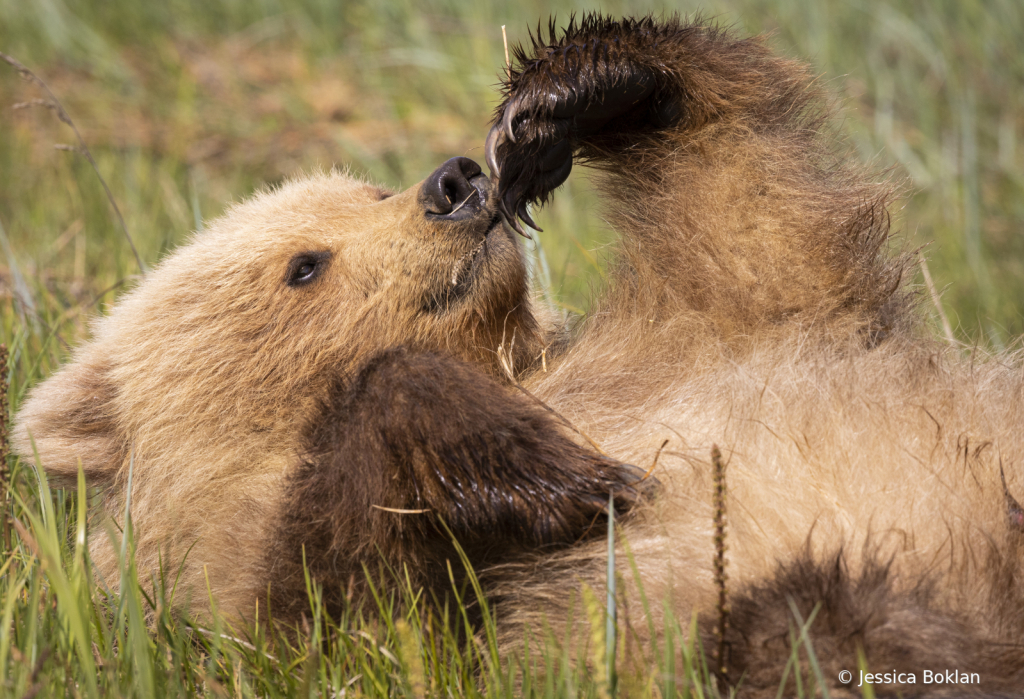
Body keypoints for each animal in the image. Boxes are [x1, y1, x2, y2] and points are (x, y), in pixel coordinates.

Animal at [12, 13, 1024, 695]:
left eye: (364, 187)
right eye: (304, 264)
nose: (452, 182)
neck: (516, 371)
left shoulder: (709, 333)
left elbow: (756, 224)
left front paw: (560, 100)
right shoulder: (317, 603)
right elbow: (368, 600)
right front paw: (571, 477)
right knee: (810, 620)